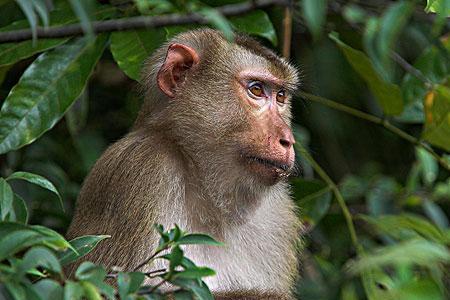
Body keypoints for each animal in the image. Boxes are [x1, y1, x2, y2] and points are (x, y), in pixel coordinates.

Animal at [66, 28, 302, 300]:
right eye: (256, 90)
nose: (288, 140)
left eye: (281, 96)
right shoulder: (141, 169)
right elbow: (108, 287)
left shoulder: (279, 215)